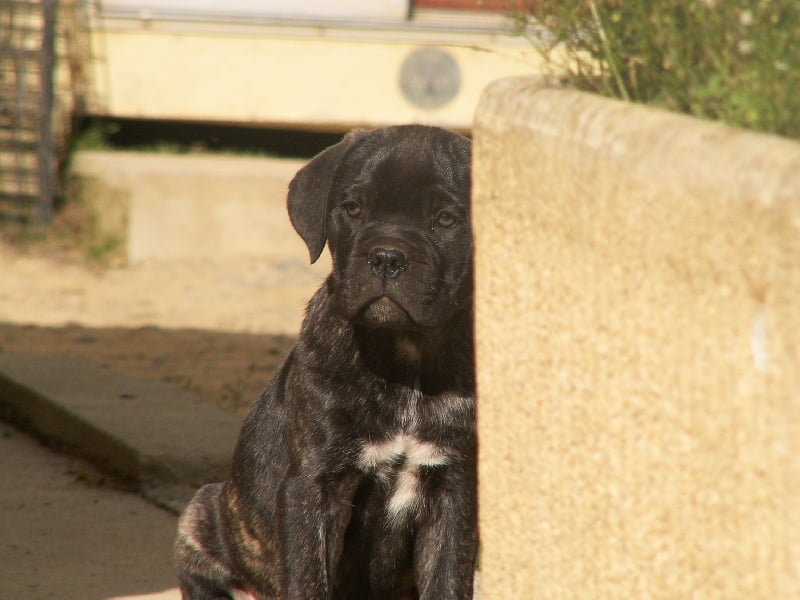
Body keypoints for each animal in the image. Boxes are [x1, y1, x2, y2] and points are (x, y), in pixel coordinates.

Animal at [175, 124, 476, 596]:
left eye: (446, 219)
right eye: (352, 208)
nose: (386, 256)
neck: (405, 359)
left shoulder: (454, 491)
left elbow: (447, 582)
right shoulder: (313, 487)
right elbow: (308, 579)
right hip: (202, 514)